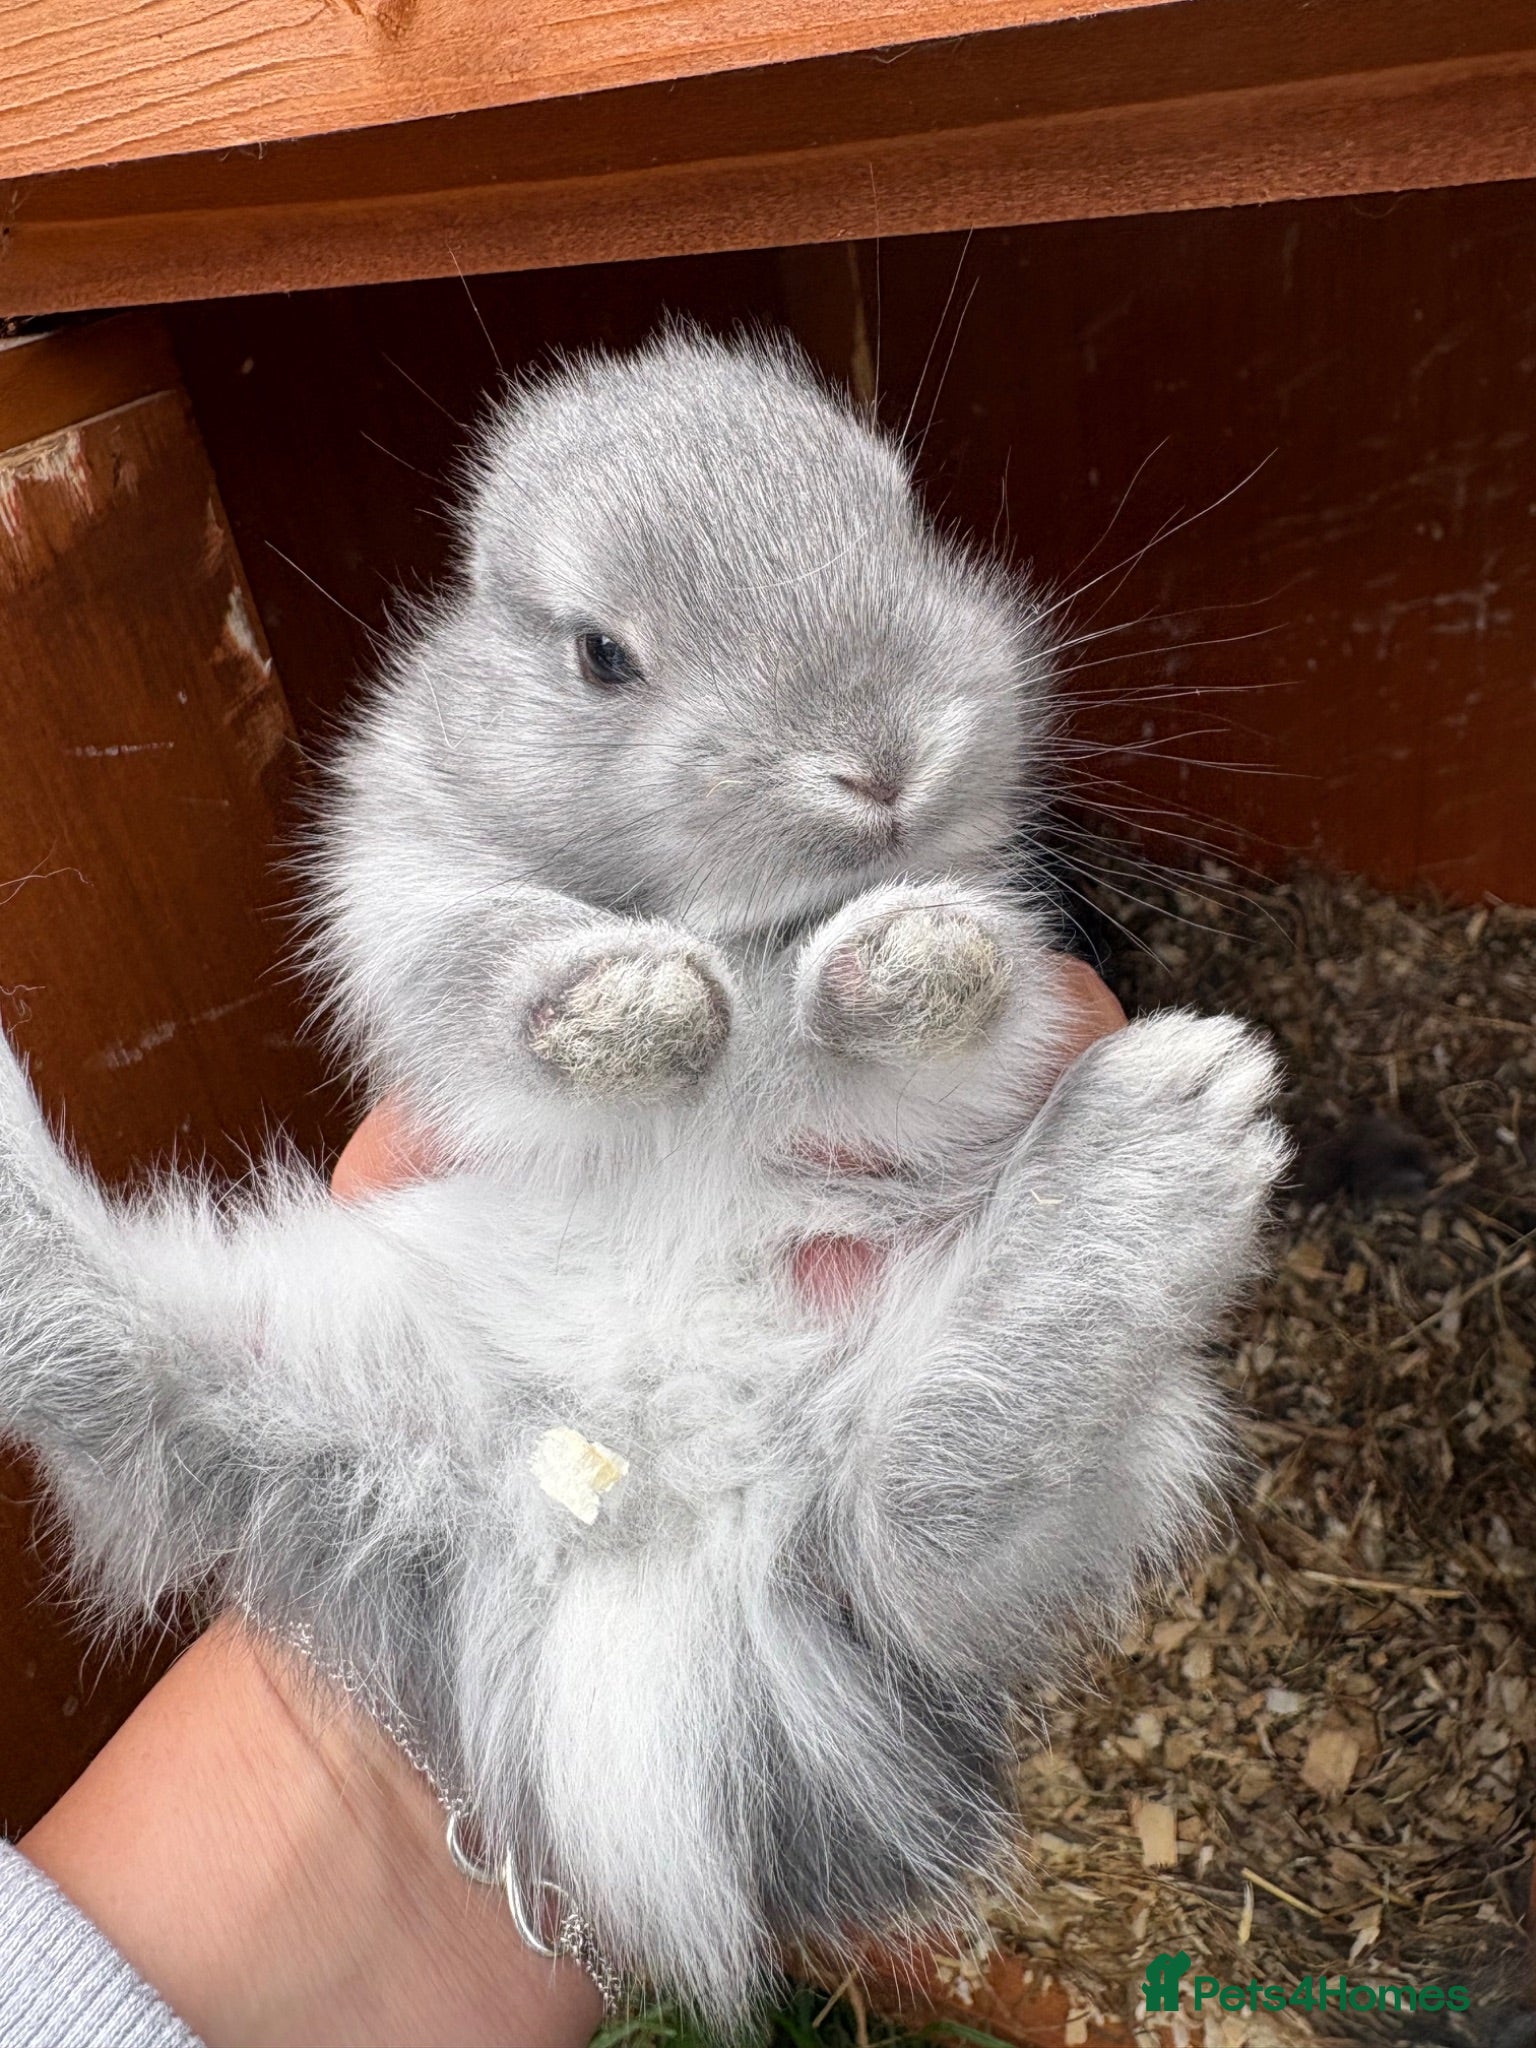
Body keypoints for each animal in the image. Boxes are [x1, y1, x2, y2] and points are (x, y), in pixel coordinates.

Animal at [0, 331, 1286, 2015]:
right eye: (603, 655)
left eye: (910, 527)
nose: (881, 759)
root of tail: (658, 1513)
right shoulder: (408, 883)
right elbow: (490, 961)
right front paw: (646, 1010)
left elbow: (951, 1004)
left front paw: (909, 960)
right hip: (299, 1367)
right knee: (106, 1356)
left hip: (1092, 1445)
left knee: (921, 1521)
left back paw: (1170, 1140)